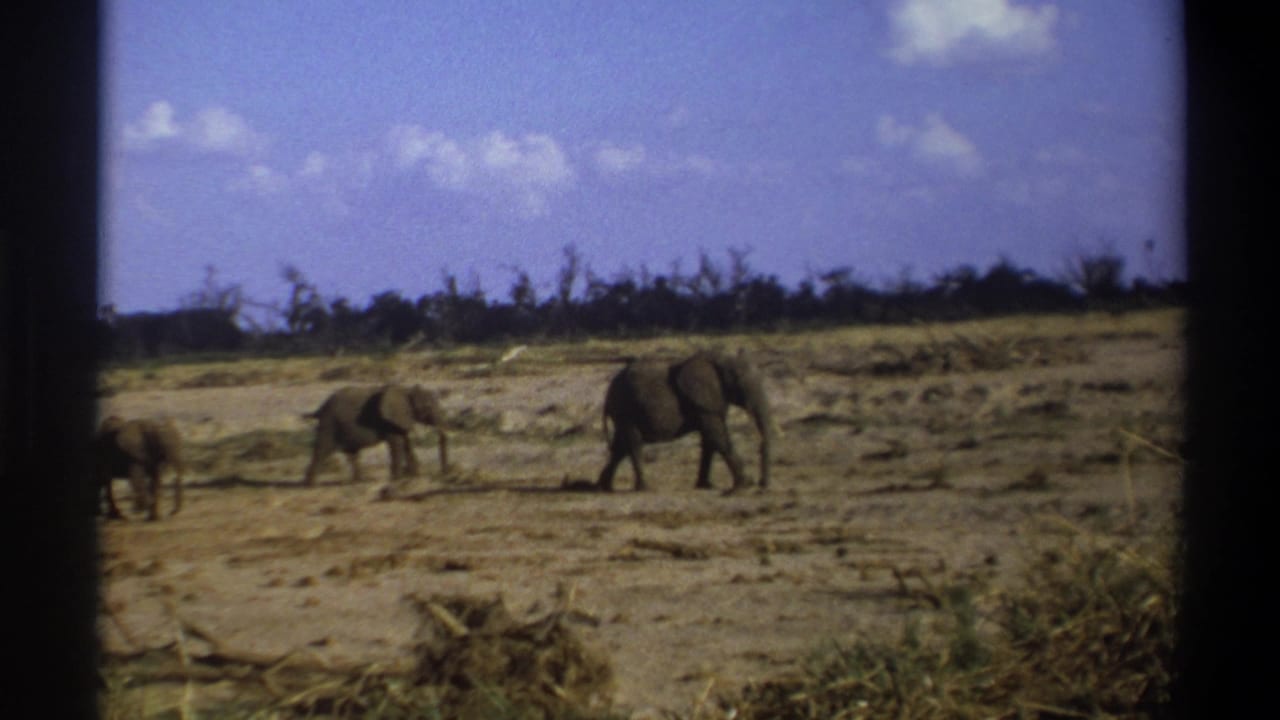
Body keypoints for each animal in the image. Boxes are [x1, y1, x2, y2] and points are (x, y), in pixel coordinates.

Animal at [302, 384, 449, 486]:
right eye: (428, 407)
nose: (442, 473)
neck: (407, 391)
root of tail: (320, 408)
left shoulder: (402, 418)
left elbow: (406, 442)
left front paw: (414, 476)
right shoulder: (389, 420)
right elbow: (397, 444)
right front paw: (397, 479)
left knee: (352, 453)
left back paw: (358, 481)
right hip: (329, 423)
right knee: (322, 449)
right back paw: (311, 485)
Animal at [597, 350, 774, 493]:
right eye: (740, 382)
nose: (761, 485)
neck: (720, 359)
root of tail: (607, 394)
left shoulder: (713, 401)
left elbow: (709, 440)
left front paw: (706, 486)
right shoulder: (703, 402)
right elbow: (716, 436)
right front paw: (744, 484)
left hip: (623, 412)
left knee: (621, 446)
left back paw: (603, 487)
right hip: (626, 409)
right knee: (633, 443)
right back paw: (645, 489)